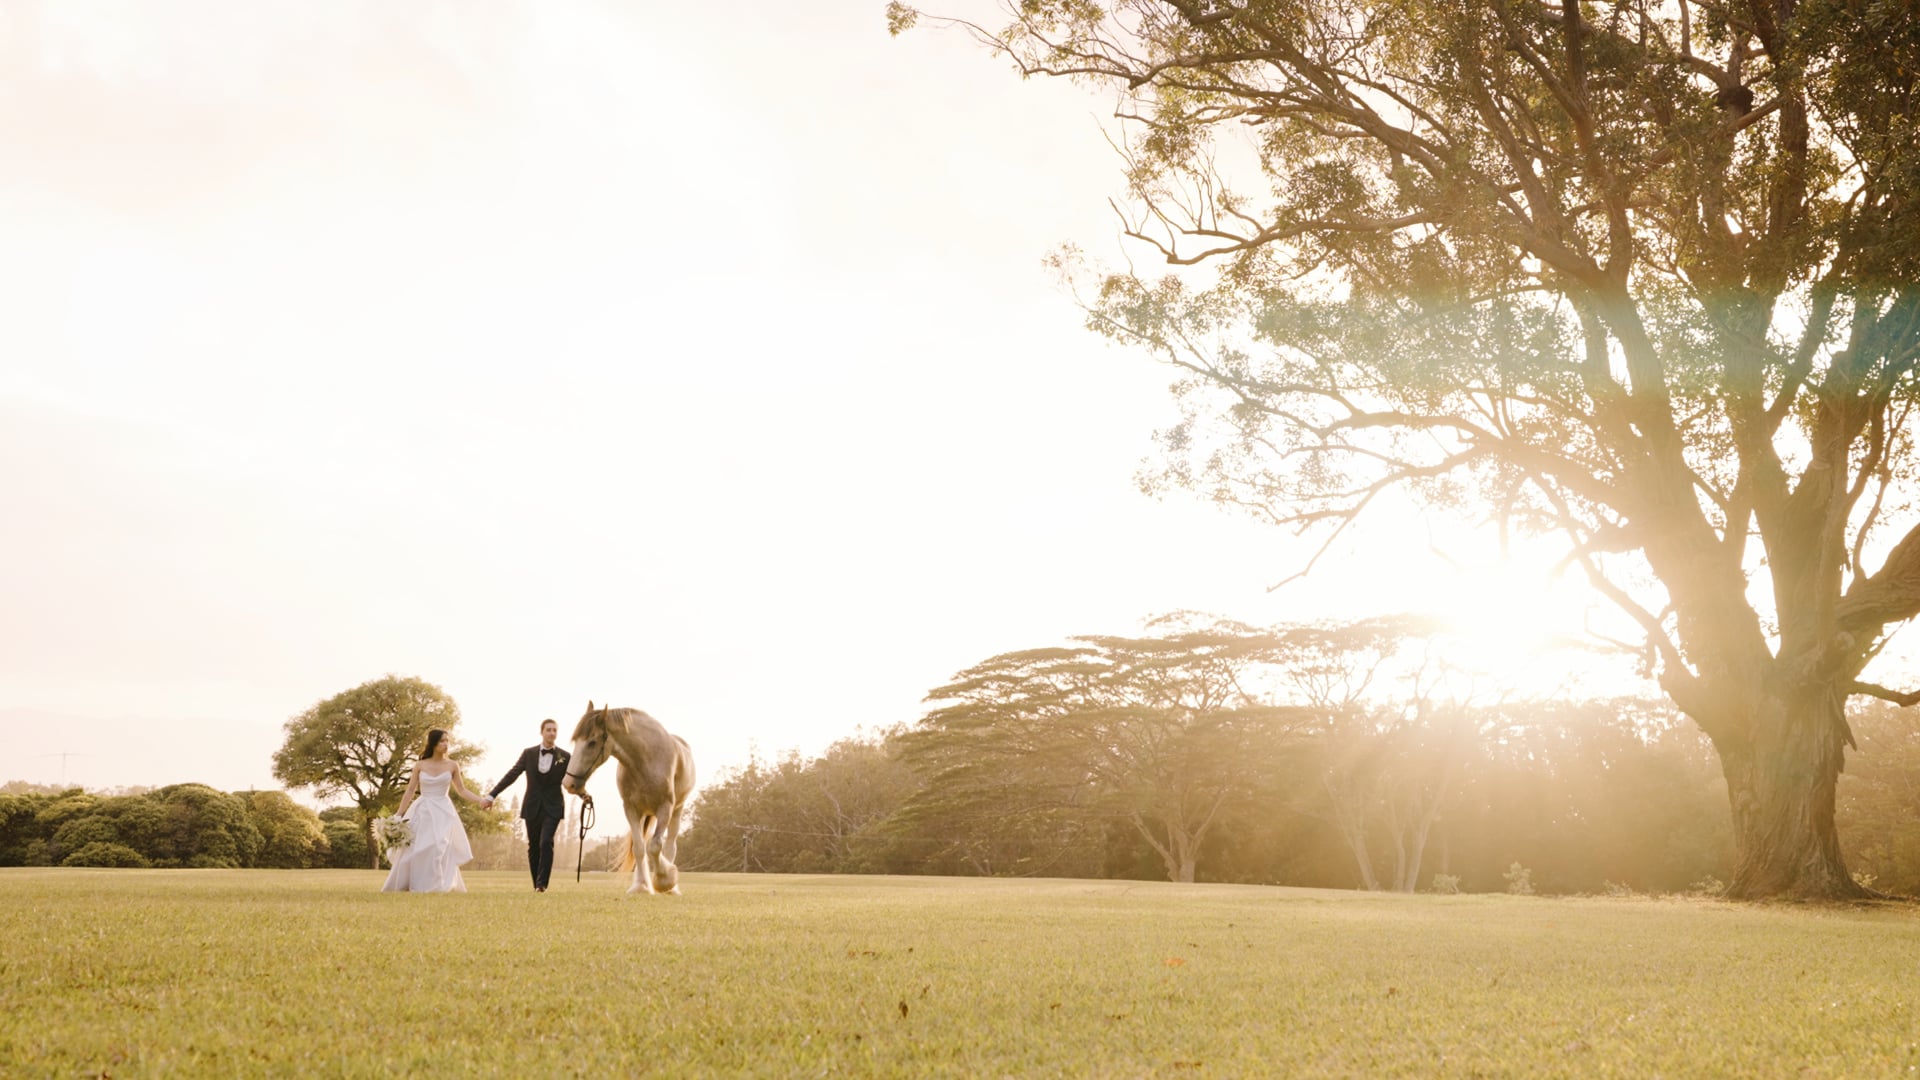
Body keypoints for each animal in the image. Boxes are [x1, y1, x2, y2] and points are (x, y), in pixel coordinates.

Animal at [560, 699, 698, 891]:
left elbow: (655, 846)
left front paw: (665, 879)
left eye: (592, 743)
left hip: (677, 810)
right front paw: (641, 886)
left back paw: (672, 888)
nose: (569, 784)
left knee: (670, 846)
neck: (647, 760)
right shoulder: (631, 809)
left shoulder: (665, 808)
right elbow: (639, 848)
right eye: (576, 741)